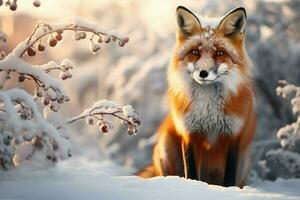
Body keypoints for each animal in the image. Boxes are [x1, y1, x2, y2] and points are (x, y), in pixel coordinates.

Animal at [137, 6, 256, 188]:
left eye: (219, 53)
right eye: (195, 52)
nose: (203, 73)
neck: (209, 113)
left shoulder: (233, 135)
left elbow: (229, 177)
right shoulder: (189, 133)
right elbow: (191, 171)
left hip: (245, 160)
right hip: (166, 145)